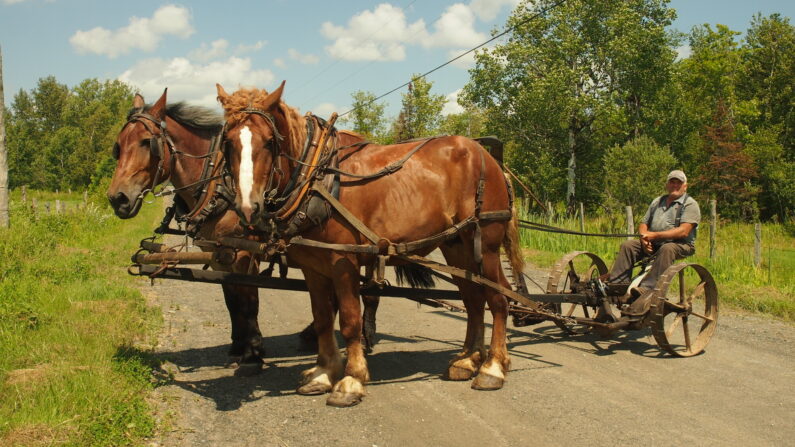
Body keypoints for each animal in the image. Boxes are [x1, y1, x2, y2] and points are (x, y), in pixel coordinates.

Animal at [218, 82, 524, 408]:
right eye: (228, 142)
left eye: (268, 142)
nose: (248, 207)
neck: (319, 181)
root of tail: (489, 159)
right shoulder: (314, 266)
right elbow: (323, 318)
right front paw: (323, 373)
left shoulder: (343, 262)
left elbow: (350, 319)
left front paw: (351, 379)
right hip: (457, 247)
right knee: (473, 300)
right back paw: (467, 360)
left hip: (486, 246)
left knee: (499, 299)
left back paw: (492, 367)